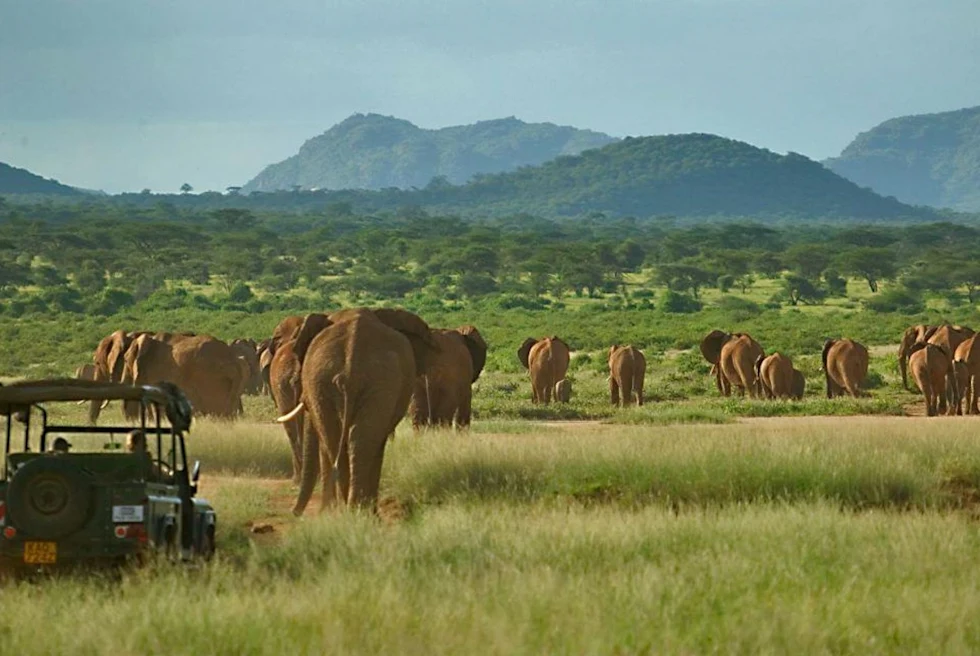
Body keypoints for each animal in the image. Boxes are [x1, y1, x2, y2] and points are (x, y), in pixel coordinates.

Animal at [278, 307, 438, 514]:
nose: (293, 513)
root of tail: (350, 369)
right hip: (332, 381)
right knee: (349, 441)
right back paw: (353, 511)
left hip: (366, 382)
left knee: (348, 441)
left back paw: (353, 511)